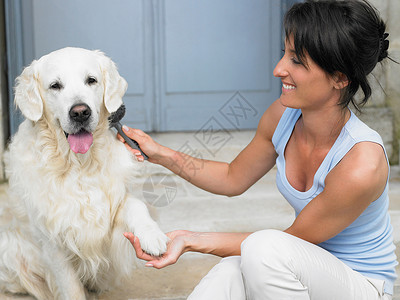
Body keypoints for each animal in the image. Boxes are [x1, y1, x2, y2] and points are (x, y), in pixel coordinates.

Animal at [0, 48, 168, 298]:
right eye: (55, 85)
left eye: (91, 80)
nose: (80, 112)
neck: (78, 164)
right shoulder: (52, 240)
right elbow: (70, 287)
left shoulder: (111, 208)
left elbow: (136, 206)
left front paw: (152, 235)